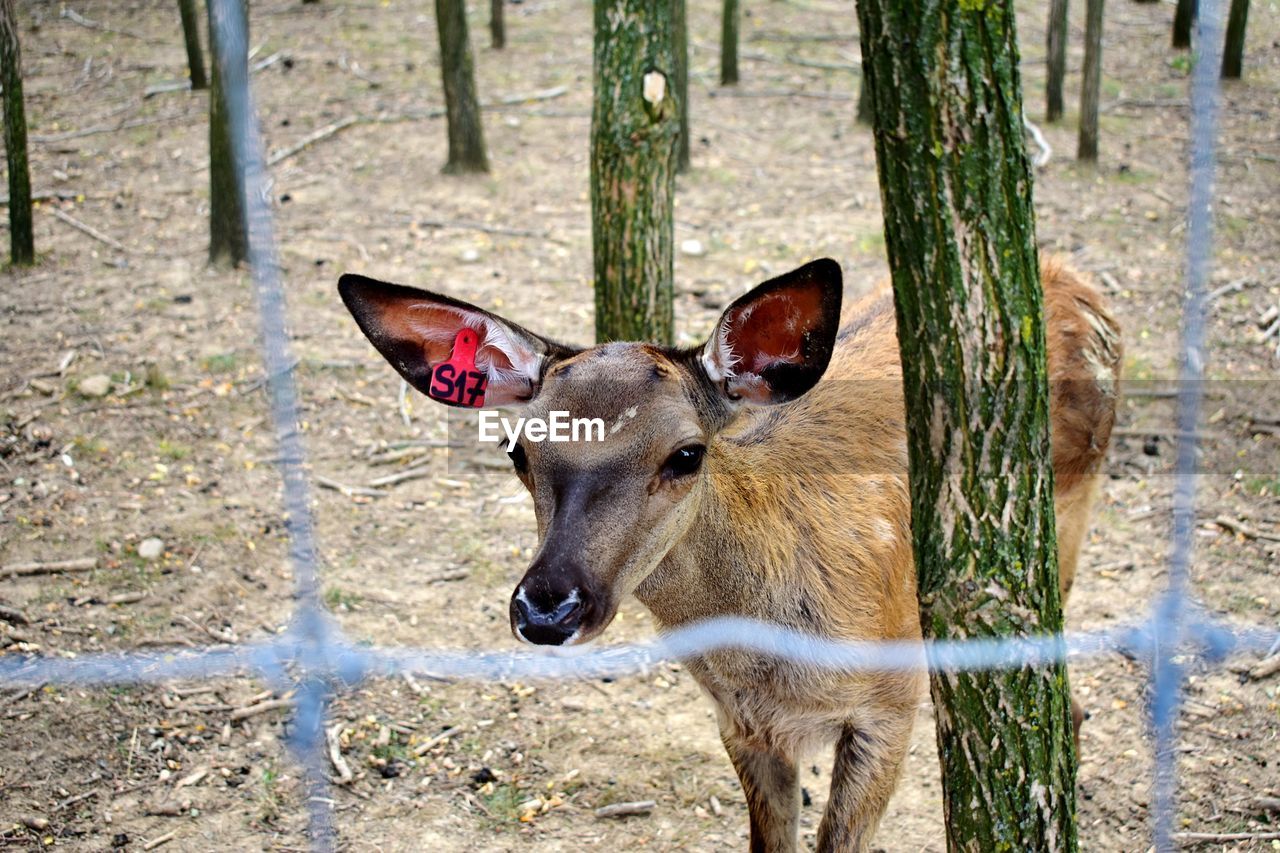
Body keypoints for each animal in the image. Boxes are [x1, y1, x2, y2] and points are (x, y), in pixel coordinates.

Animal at [337, 253, 1121, 850]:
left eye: (686, 453)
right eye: (518, 451)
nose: (547, 607)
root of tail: (1078, 280)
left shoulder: (890, 702)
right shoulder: (741, 724)